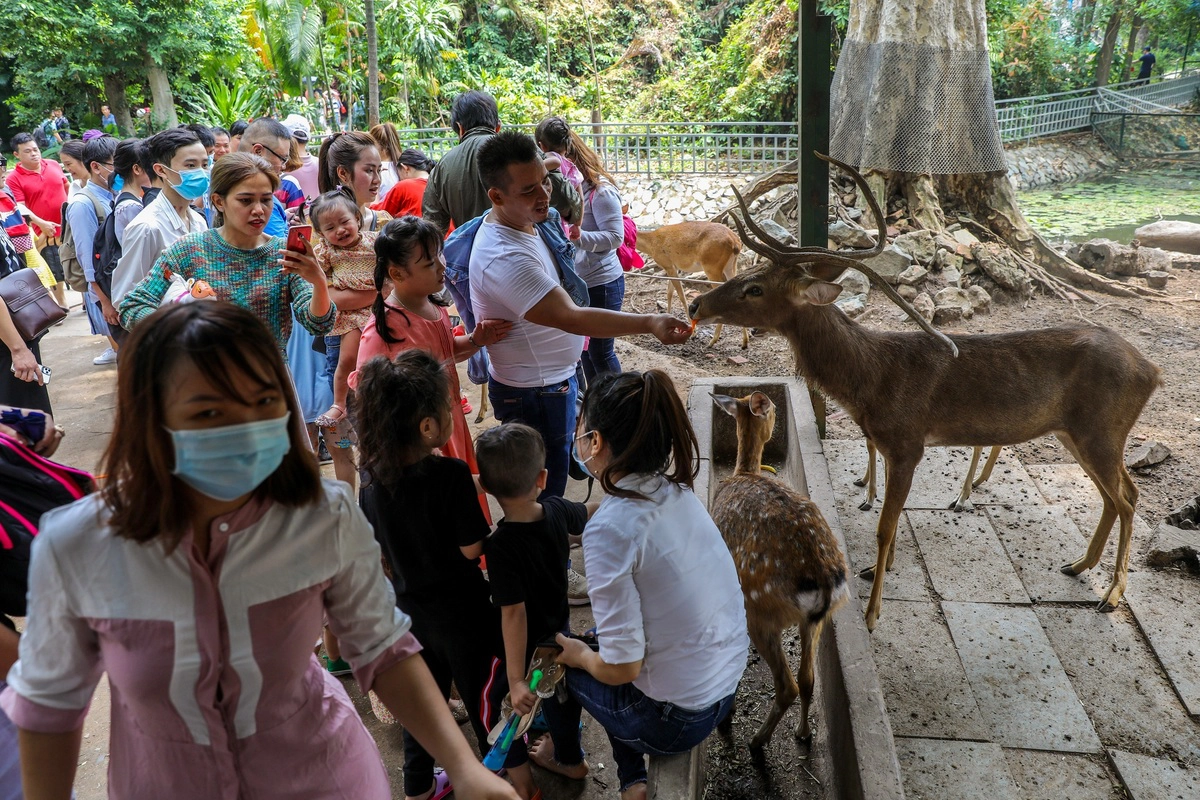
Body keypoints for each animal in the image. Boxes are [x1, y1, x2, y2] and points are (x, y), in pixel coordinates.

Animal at [696, 154, 1161, 633]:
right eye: (749, 270)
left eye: (754, 288)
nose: (696, 305)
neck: (871, 382)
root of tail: (1152, 371)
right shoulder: (887, 444)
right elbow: (892, 514)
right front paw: (877, 569)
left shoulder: (907, 443)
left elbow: (884, 525)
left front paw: (872, 613)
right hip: (1077, 433)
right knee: (1116, 494)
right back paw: (1079, 565)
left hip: (1102, 430)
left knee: (1128, 499)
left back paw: (1111, 594)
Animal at [705, 393, 849, 753]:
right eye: (771, 413)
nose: (776, 420)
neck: (743, 472)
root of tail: (824, 581)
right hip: (815, 619)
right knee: (807, 679)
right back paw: (802, 733)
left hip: (760, 611)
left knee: (788, 686)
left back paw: (757, 742)